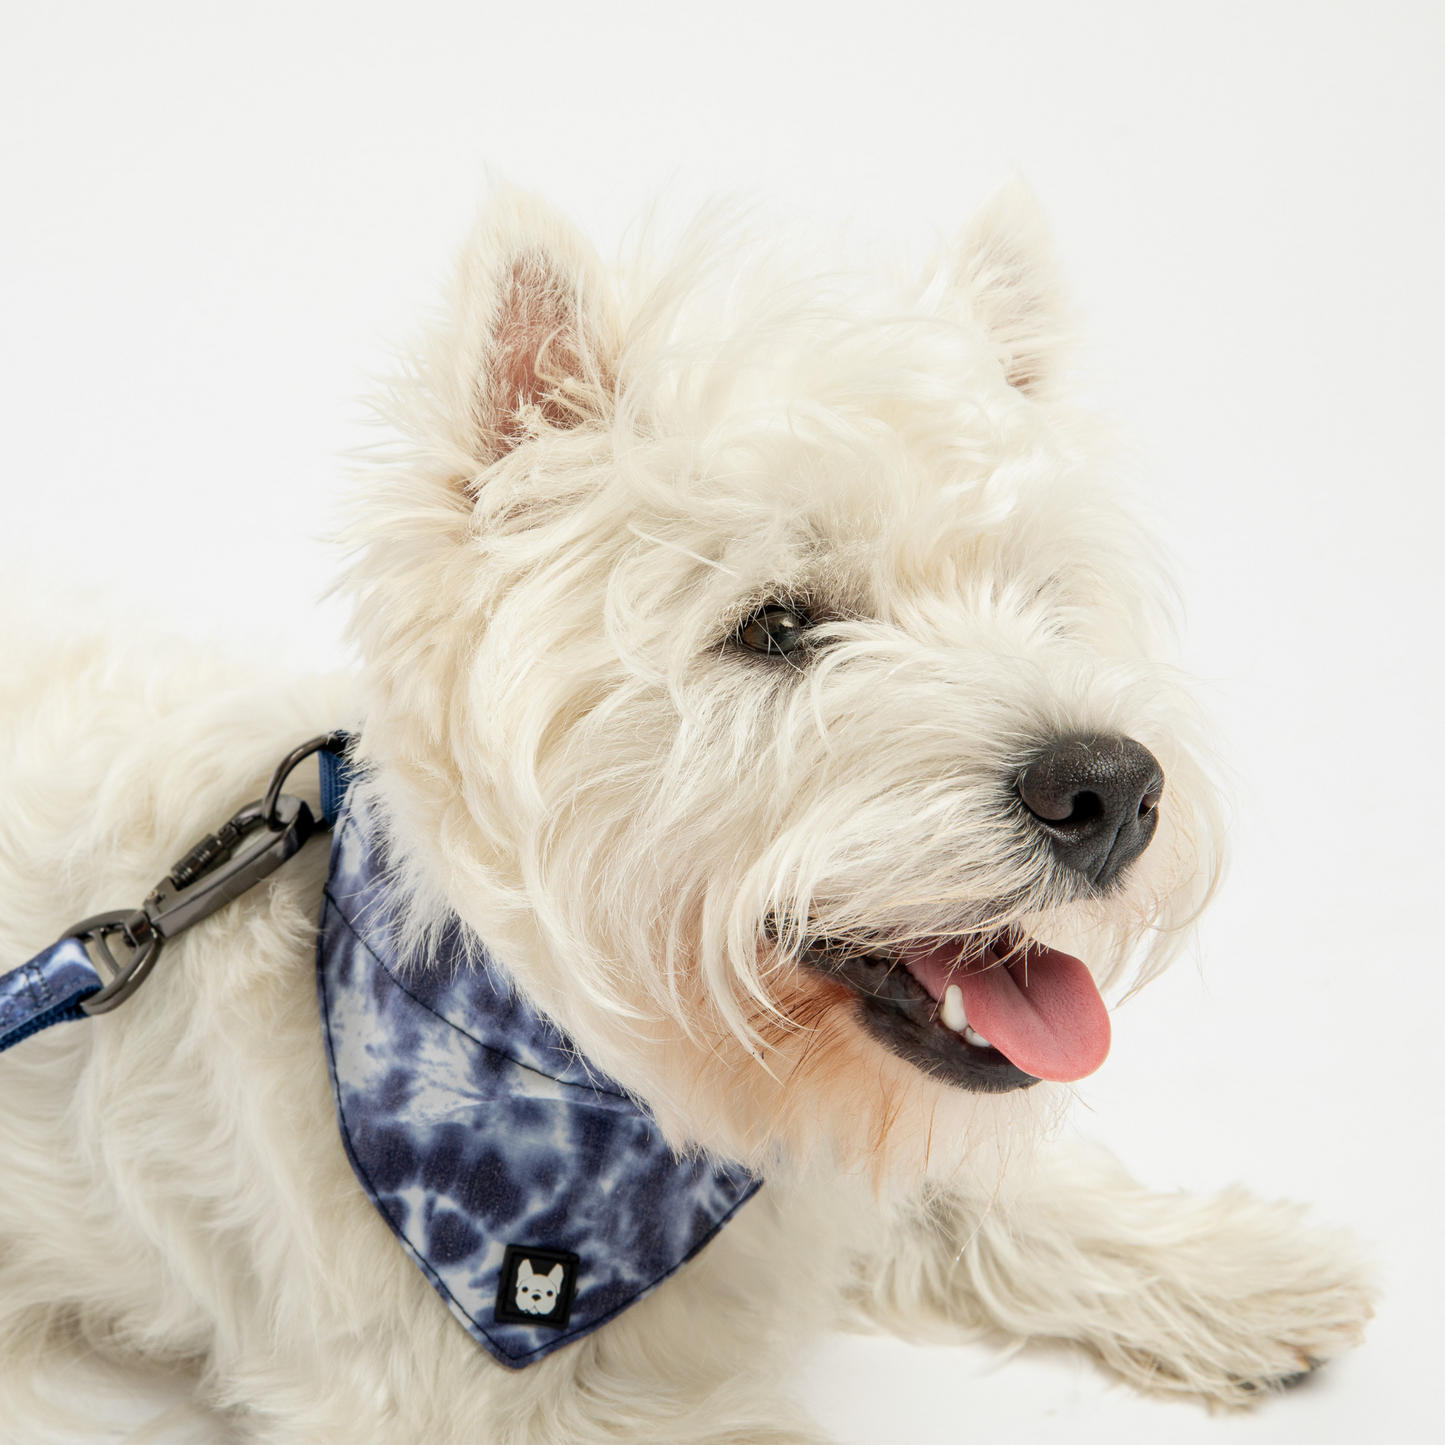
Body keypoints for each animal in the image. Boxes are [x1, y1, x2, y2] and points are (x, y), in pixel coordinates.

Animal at [0, 186, 1369, 1439]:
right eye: (774, 625)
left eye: (1041, 600)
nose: (1110, 787)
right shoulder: (433, 1396)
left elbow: (962, 1189)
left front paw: (1235, 1270)